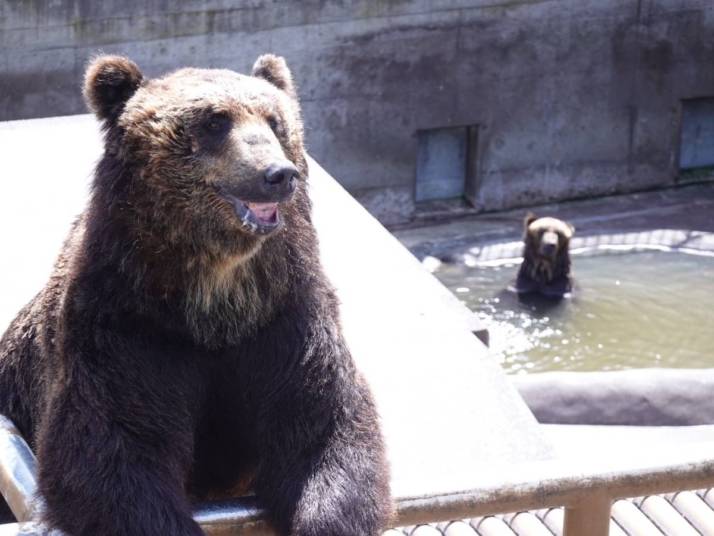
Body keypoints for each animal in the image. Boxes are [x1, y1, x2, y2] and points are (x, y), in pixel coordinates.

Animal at [0, 55, 390, 536]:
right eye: (214, 121)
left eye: (275, 121)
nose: (278, 174)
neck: (211, 302)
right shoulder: (123, 326)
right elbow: (114, 450)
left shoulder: (285, 317)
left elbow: (322, 429)